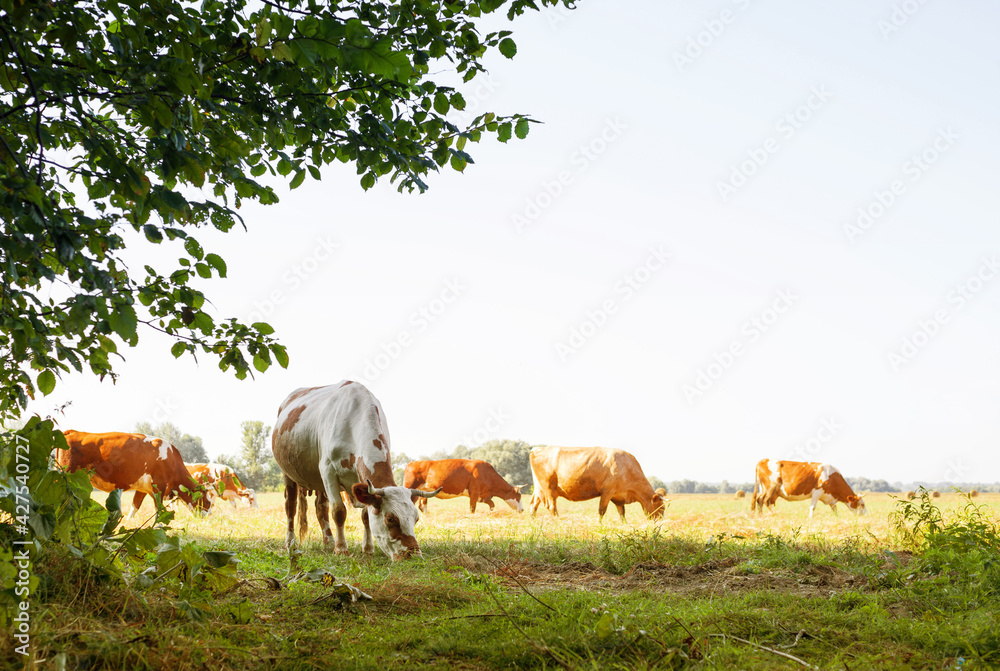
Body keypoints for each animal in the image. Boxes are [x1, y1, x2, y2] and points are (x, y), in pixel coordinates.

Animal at [57, 430, 213, 518]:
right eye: (207, 502)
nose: (209, 516)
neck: (172, 459)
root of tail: (73, 431)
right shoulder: (159, 487)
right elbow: (159, 510)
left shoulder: (143, 489)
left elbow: (134, 507)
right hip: (67, 474)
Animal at [271, 381, 441, 560]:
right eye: (390, 519)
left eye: (416, 518)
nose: (414, 554)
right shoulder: (328, 471)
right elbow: (338, 511)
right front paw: (341, 549)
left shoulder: (362, 481)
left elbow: (366, 516)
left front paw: (367, 549)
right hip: (287, 473)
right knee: (290, 506)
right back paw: (291, 543)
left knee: (321, 508)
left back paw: (328, 541)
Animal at [528, 446, 665, 521]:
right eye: (661, 508)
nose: (660, 523)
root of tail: (538, 448)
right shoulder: (607, 491)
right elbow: (602, 510)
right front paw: (599, 524)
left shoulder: (618, 495)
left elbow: (622, 513)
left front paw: (624, 525)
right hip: (549, 487)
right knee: (552, 507)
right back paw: (558, 522)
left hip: (539, 489)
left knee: (534, 505)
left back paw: (533, 522)